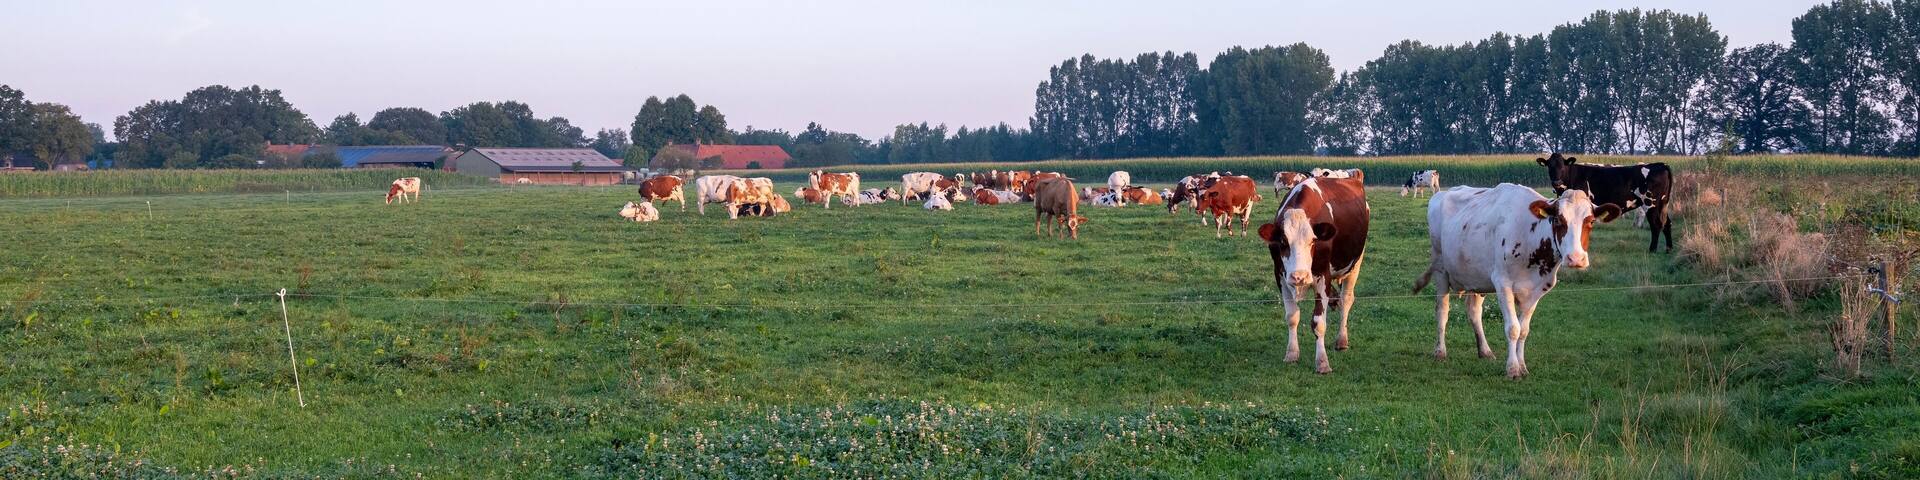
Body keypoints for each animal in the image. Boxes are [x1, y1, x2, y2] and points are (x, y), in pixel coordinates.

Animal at [1256, 175, 1370, 374]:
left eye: (1313, 241)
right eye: (1283, 241)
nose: (1299, 276)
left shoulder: (1323, 276)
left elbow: (1319, 323)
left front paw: (1322, 362)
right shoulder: (1280, 276)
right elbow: (1292, 317)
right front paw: (1291, 353)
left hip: (1356, 263)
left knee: (1346, 299)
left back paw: (1342, 340)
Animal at [1412, 184, 1621, 378]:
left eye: (1591, 221)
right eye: (1558, 220)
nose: (1576, 259)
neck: (1530, 238)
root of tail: (1444, 193)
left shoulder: (1537, 290)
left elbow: (1524, 330)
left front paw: (1522, 366)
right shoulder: (1502, 283)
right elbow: (1513, 328)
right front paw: (1512, 369)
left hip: (1478, 277)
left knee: (1474, 311)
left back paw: (1485, 351)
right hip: (1441, 268)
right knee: (1442, 311)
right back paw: (1440, 351)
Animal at [1538, 153, 1673, 252]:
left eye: (1562, 166)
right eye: (1550, 166)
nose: (1556, 182)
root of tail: (1660, 164)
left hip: (1650, 203)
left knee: (1656, 225)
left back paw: (1652, 250)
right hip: (1663, 204)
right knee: (1667, 223)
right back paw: (1668, 249)